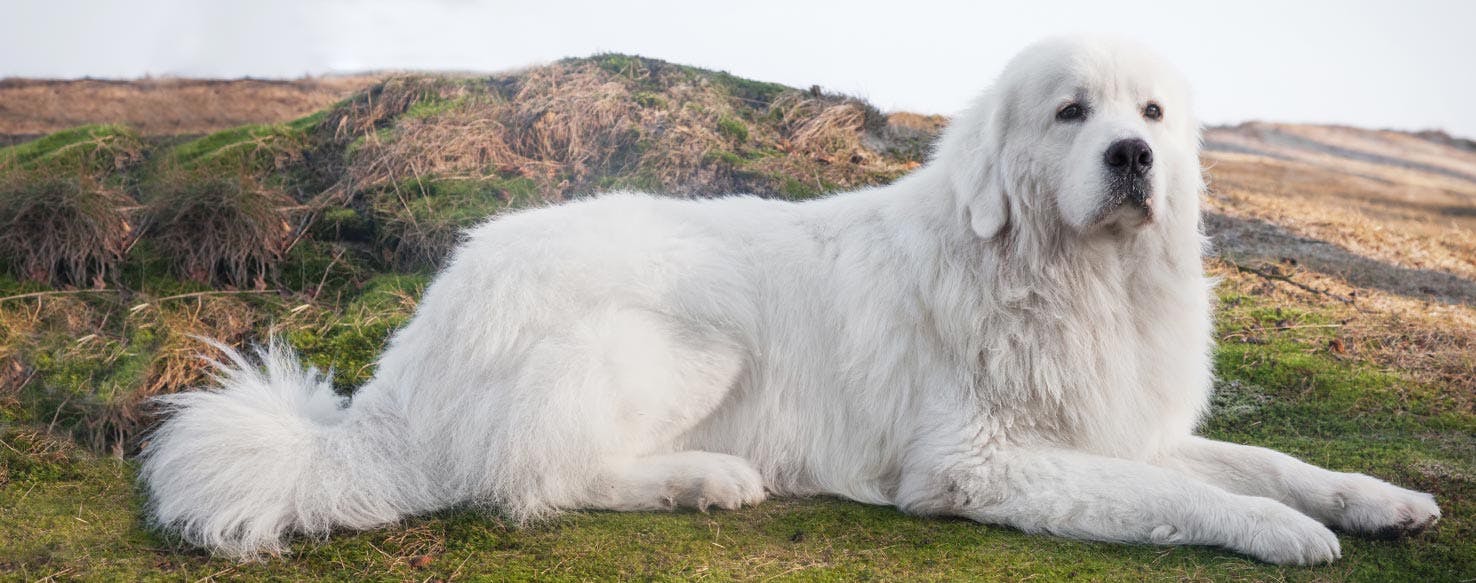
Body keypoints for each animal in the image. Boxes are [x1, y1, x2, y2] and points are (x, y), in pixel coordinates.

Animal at [140, 37, 1440, 566]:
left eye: (1155, 115)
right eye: (1074, 111)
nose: (1135, 158)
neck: (1070, 281)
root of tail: (408, 358)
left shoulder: (1120, 426)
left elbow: (1266, 459)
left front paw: (1378, 498)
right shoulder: (980, 463)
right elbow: (1182, 495)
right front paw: (1283, 533)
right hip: (690, 347)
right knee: (533, 480)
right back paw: (706, 479)